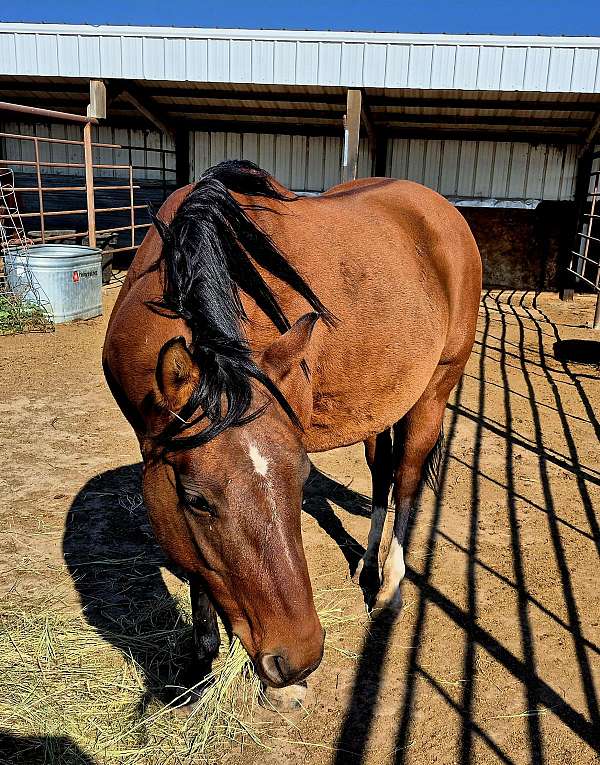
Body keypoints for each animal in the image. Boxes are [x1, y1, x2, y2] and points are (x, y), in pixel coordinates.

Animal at [102, 161, 478, 704]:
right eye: (196, 500)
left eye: (301, 480)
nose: (298, 659)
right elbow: (197, 568)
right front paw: (202, 656)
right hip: (380, 407)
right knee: (382, 474)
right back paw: (366, 566)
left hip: (432, 393)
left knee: (406, 481)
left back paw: (388, 587)